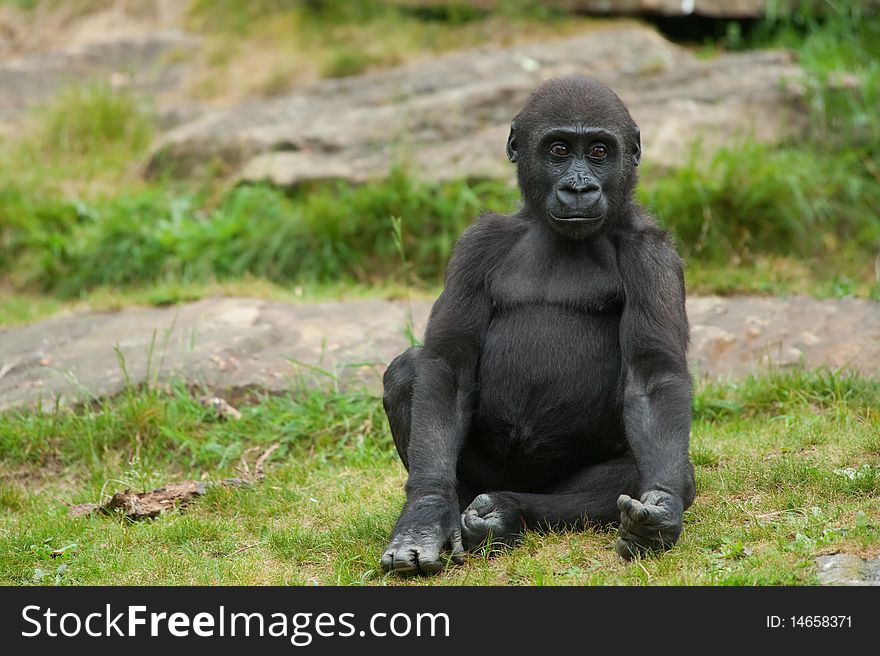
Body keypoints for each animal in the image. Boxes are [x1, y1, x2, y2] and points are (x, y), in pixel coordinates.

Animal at [378, 75, 696, 576]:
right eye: (559, 150)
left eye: (600, 152)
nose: (580, 188)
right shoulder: (478, 242)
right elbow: (448, 364)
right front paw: (425, 513)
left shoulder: (653, 255)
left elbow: (652, 377)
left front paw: (661, 507)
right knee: (409, 371)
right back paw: (463, 512)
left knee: (645, 477)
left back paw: (508, 514)